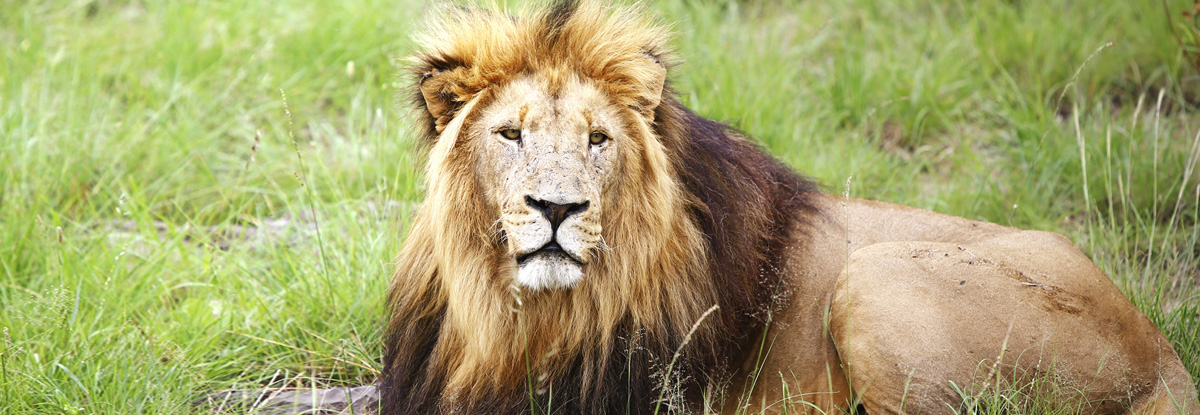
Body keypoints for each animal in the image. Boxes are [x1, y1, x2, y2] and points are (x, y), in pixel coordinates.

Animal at [376, 1, 1200, 412]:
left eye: (598, 139)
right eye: (510, 133)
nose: (556, 207)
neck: (528, 318)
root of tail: (1161, 352)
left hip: (875, 280)